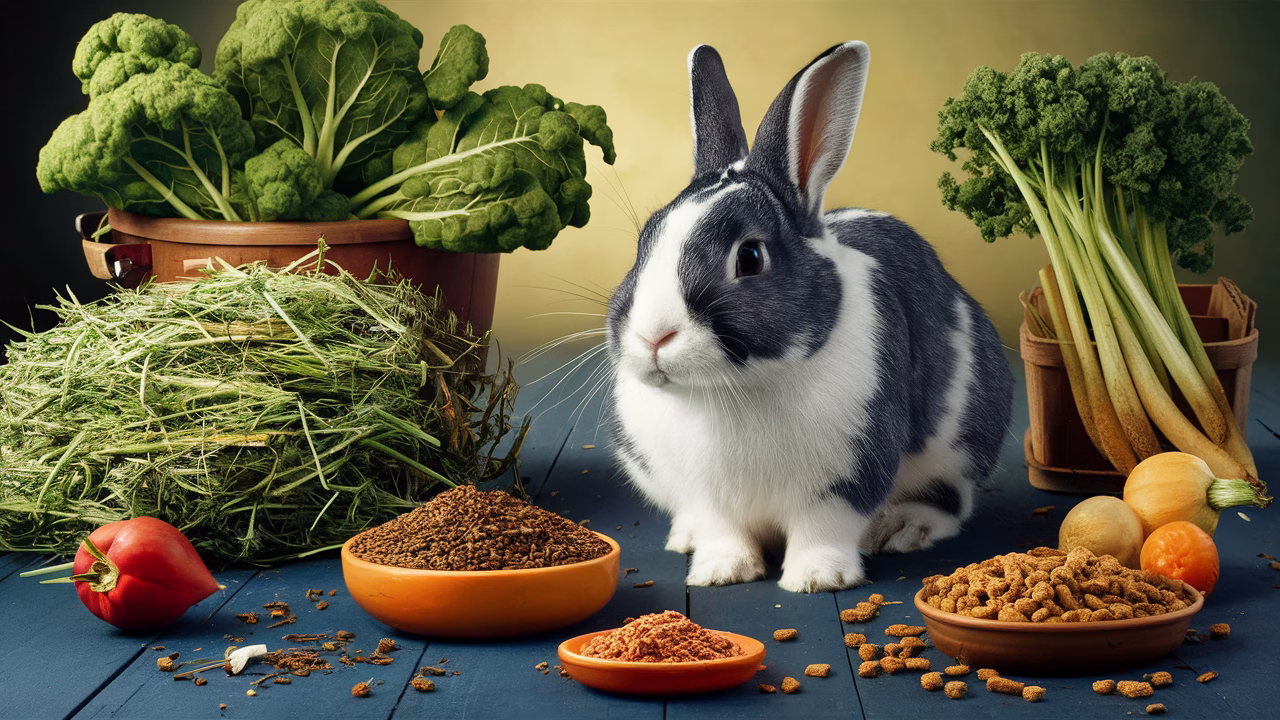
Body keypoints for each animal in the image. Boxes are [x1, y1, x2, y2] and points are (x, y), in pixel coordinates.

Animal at [604, 41, 1015, 593]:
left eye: (750, 257)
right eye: (644, 242)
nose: (653, 337)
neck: (735, 389)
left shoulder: (849, 473)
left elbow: (825, 528)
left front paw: (819, 579)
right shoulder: (705, 492)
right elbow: (720, 529)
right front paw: (720, 573)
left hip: (961, 447)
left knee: (951, 499)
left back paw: (904, 528)